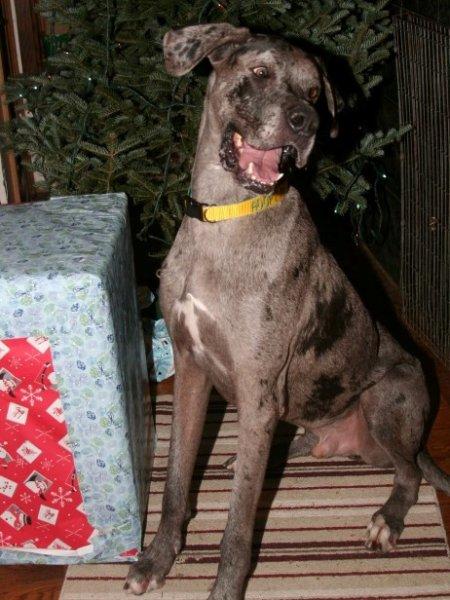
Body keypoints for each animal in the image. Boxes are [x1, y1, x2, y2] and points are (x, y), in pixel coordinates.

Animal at [125, 23, 450, 599]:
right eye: (259, 72)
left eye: (316, 94)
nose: (307, 123)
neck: (228, 215)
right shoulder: (191, 369)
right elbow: (176, 482)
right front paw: (157, 559)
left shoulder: (257, 389)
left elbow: (237, 527)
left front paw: (224, 588)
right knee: (300, 442)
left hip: (388, 397)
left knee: (409, 475)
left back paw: (387, 519)